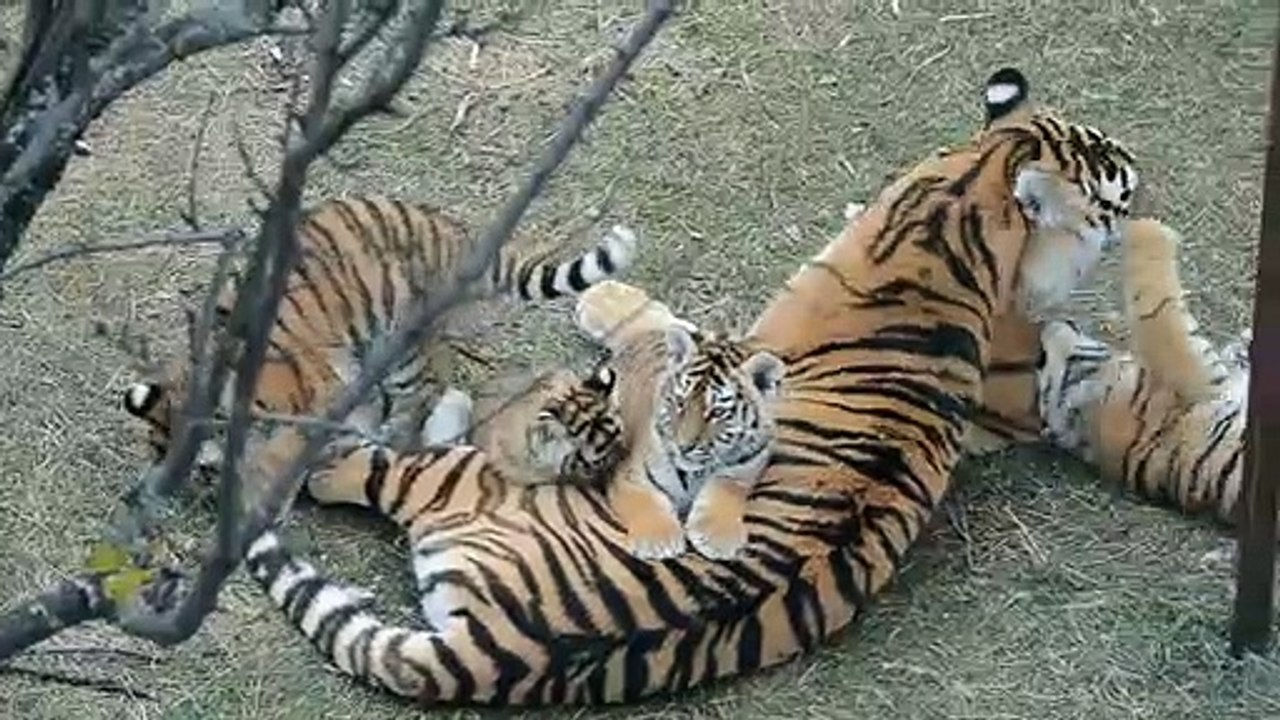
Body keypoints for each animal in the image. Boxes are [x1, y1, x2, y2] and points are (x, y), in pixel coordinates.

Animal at [571, 279, 785, 561]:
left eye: (717, 413)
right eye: (680, 402)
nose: (683, 446)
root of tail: (641, 335)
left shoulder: (745, 468)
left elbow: (724, 488)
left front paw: (718, 536)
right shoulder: (629, 475)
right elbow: (646, 501)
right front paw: (658, 540)